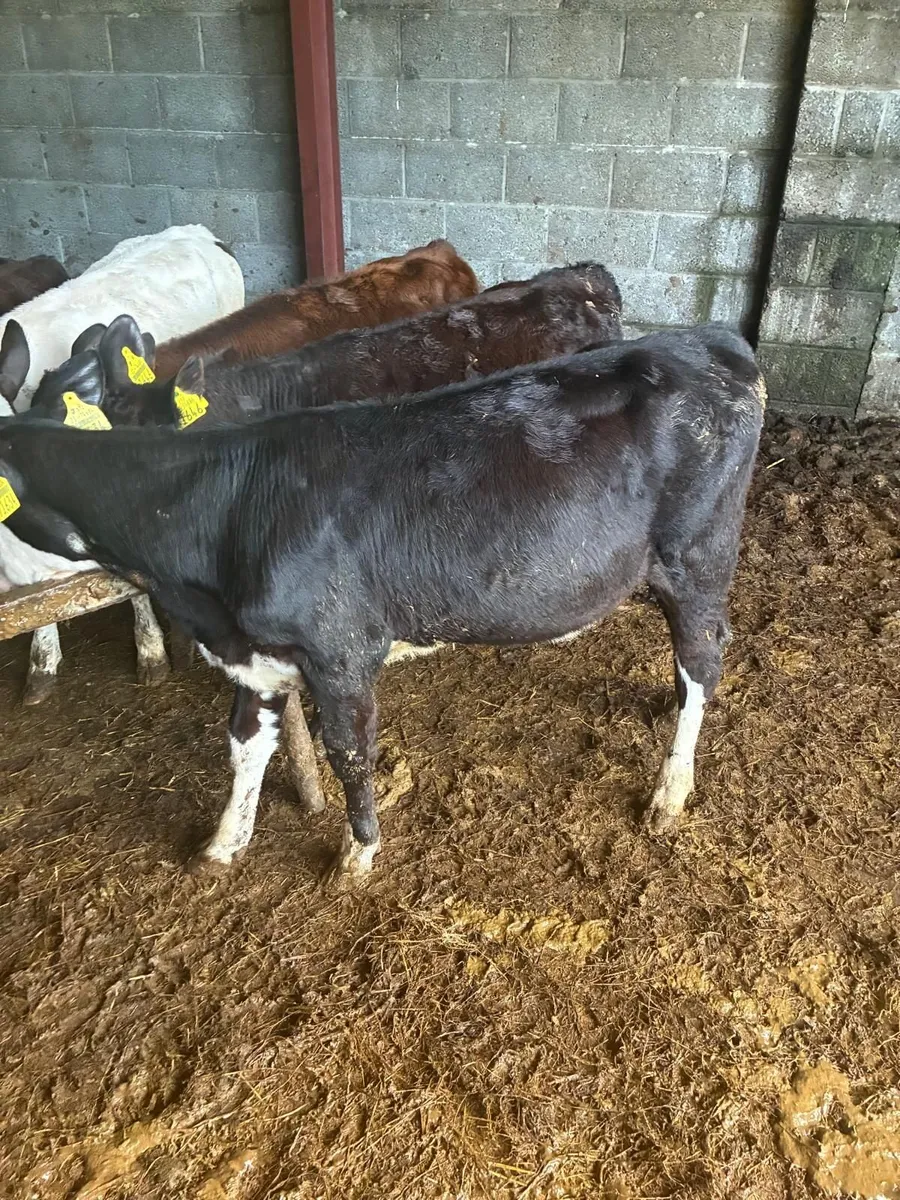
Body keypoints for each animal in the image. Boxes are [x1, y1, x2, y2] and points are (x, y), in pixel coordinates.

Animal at [0, 324, 765, 879]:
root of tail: (708, 340)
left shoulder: (339, 650)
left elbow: (349, 751)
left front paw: (358, 850)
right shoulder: (254, 652)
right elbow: (244, 743)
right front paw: (224, 843)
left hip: (697, 554)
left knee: (704, 656)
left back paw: (671, 790)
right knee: (690, 665)